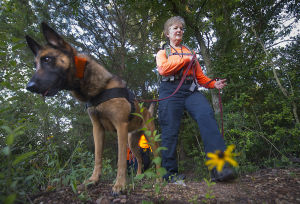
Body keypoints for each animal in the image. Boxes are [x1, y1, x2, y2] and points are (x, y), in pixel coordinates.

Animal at [25, 22, 159, 194]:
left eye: (47, 59)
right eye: (35, 65)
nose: (29, 87)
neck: (99, 89)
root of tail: (147, 112)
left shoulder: (120, 127)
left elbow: (121, 160)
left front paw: (120, 184)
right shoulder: (97, 128)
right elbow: (97, 157)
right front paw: (93, 180)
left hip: (150, 138)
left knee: (158, 159)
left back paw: (160, 178)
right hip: (132, 143)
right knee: (140, 159)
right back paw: (138, 176)